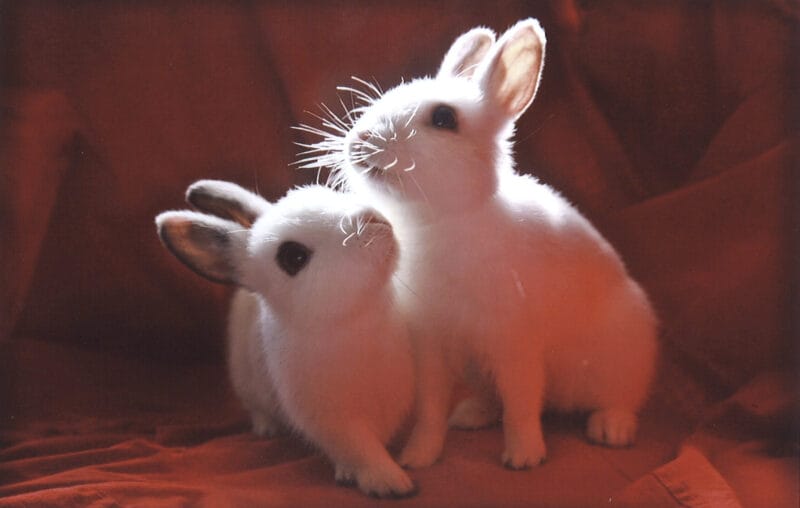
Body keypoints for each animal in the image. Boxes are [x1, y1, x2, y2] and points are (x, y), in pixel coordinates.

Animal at [157, 181, 418, 498]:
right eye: (293, 257)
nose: (370, 218)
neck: (356, 319)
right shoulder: (332, 422)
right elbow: (361, 450)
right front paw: (390, 482)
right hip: (246, 382)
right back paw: (267, 429)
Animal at [298, 17, 656, 470]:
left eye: (444, 118)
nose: (359, 139)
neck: (441, 221)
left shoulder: (515, 343)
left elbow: (522, 403)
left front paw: (524, 457)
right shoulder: (431, 348)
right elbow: (431, 409)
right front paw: (418, 457)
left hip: (620, 360)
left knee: (622, 399)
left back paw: (611, 429)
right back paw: (470, 414)